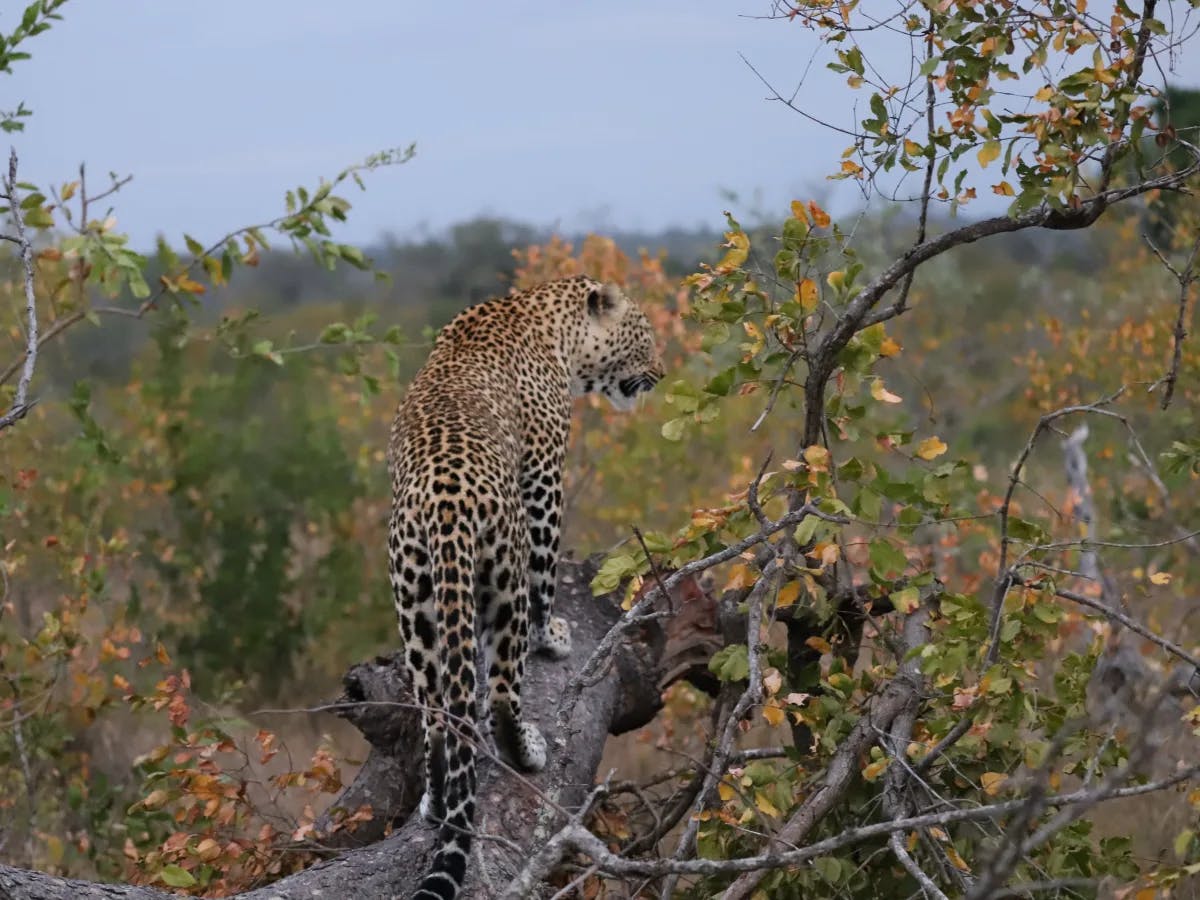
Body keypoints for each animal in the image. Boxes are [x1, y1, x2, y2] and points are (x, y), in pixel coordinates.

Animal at [386, 277, 662, 900]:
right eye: (645, 335)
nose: (661, 372)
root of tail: (444, 508)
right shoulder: (543, 475)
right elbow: (547, 566)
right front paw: (553, 634)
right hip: (500, 582)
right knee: (501, 690)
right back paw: (528, 749)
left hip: (415, 603)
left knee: (436, 717)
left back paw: (435, 802)